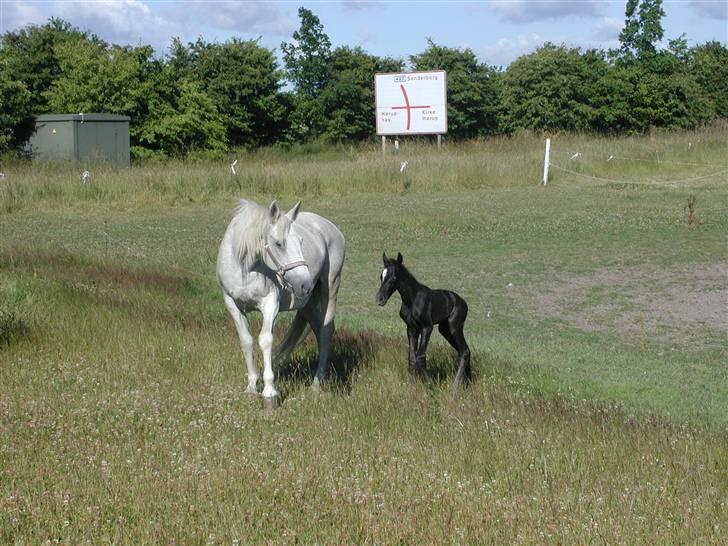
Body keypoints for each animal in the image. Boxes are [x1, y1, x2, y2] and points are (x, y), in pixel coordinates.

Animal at [216, 198, 346, 398]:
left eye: (301, 241)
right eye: (278, 243)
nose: (306, 284)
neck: (246, 269)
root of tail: (332, 228)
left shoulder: (270, 304)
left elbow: (265, 340)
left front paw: (269, 391)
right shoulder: (232, 304)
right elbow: (246, 341)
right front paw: (251, 387)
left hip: (330, 288)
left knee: (326, 331)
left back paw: (316, 383)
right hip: (307, 304)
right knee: (318, 329)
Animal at [376, 251, 472, 386]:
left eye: (394, 277)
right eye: (381, 276)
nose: (379, 299)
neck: (411, 300)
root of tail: (463, 303)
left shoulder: (427, 327)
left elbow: (420, 357)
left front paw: (432, 385)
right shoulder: (411, 329)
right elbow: (412, 358)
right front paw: (411, 386)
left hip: (455, 327)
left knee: (464, 352)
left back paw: (456, 387)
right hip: (445, 330)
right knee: (463, 351)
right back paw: (468, 383)